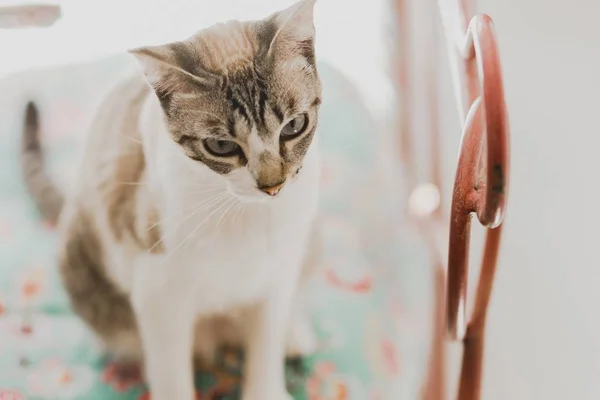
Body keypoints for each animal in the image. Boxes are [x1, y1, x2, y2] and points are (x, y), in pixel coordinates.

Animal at [21, 1, 324, 398]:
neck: (243, 214)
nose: (272, 185)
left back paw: (293, 333)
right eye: (222, 146)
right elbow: (171, 374)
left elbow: (265, 345)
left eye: (293, 126)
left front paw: (267, 386)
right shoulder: (160, 296)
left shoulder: (277, 273)